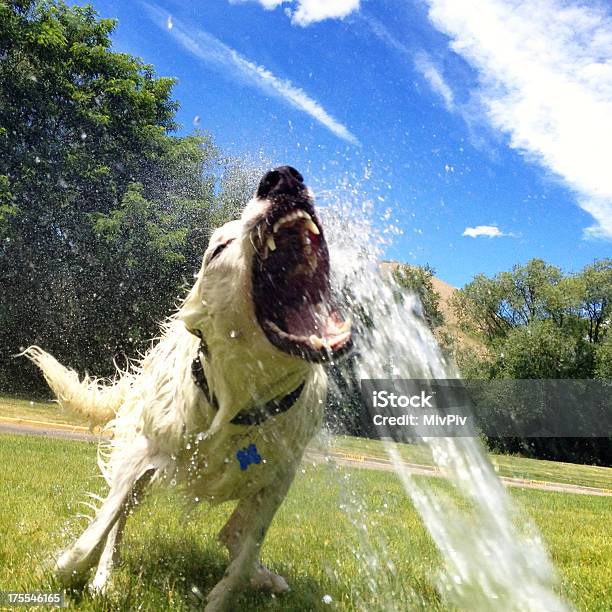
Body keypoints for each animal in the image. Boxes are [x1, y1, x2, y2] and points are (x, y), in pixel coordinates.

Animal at [23, 165, 352, 608]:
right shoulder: (142, 452)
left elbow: (243, 558)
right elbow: (96, 532)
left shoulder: (279, 477)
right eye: (218, 249)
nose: (281, 178)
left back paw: (264, 576)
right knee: (121, 521)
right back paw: (104, 579)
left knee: (232, 535)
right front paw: (68, 569)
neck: (239, 404)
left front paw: (229, 593)